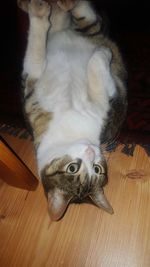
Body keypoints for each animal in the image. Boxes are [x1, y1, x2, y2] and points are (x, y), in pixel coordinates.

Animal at [18, 0, 127, 221]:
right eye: (72, 168)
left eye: (97, 169)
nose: (91, 152)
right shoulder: (32, 87)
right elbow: (36, 55)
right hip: (86, 28)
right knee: (83, 19)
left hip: (85, 29)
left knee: (82, 18)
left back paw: (60, 6)